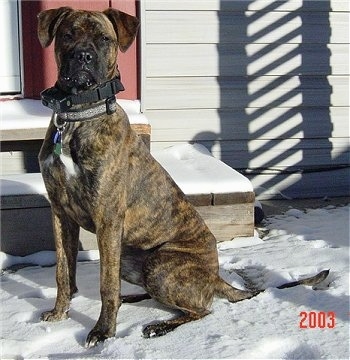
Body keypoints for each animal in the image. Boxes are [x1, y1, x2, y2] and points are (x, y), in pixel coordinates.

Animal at [37, 6, 330, 348]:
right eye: (67, 34)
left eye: (103, 39)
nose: (82, 56)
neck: (77, 116)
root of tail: (215, 275)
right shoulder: (60, 212)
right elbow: (63, 271)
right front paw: (59, 314)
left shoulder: (107, 217)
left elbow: (105, 284)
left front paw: (103, 332)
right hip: (132, 260)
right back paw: (133, 300)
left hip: (160, 263)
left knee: (201, 308)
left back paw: (159, 325)